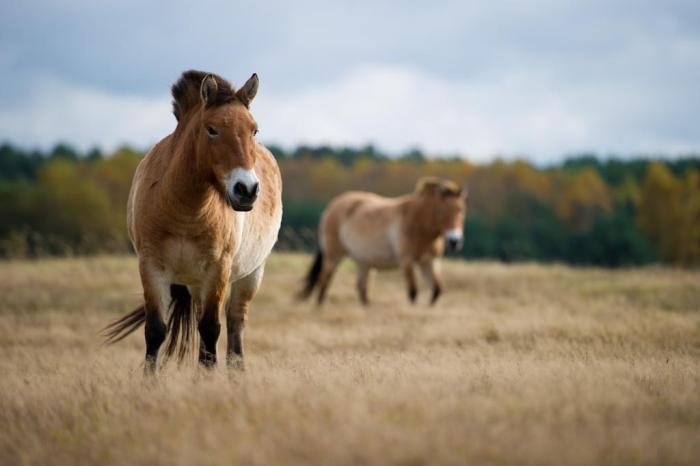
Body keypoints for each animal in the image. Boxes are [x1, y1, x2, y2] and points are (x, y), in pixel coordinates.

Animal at [101, 70, 282, 374]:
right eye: (212, 129)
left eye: (254, 130)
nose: (246, 189)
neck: (186, 211)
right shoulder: (152, 268)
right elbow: (155, 332)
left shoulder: (218, 271)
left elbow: (211, 332)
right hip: (196, 284)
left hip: (249, 275)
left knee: (234, 326)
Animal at [296, 177, 464, 306]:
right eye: (441, 211)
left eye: (461, 210)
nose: (454, 241)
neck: (420, 224)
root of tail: (331, 207)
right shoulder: (406, 260)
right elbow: (413, 292)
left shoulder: (429, 262)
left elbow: (436, 291)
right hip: (333, 254)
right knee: (325, 278)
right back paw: (320, 306)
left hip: (363, 261)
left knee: (361, 287)